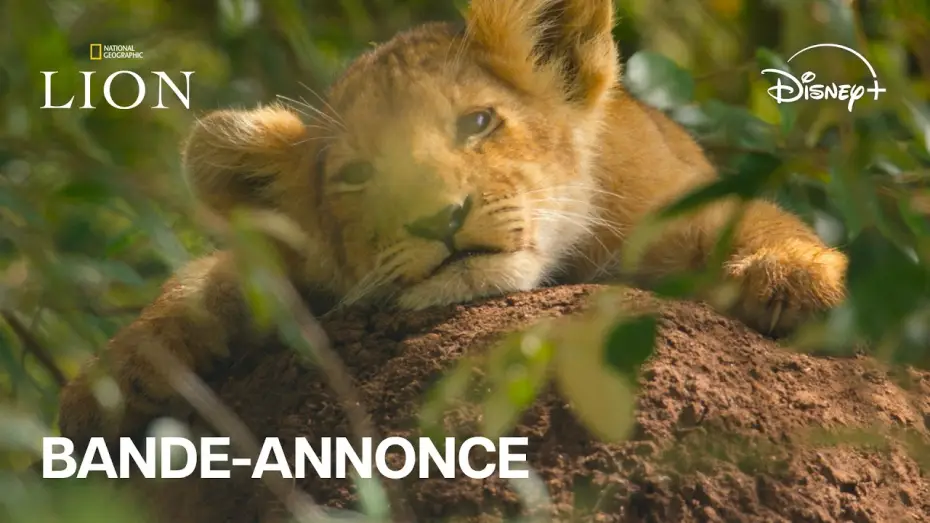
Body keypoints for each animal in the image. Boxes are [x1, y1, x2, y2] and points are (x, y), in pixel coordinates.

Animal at [58, 0, 846, 446]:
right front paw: (113, 379)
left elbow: (754, 218)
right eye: (357, 176)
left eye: (477, 123)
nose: (441, 218)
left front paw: (799, 281)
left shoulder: (672, 202)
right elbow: (206, 278)